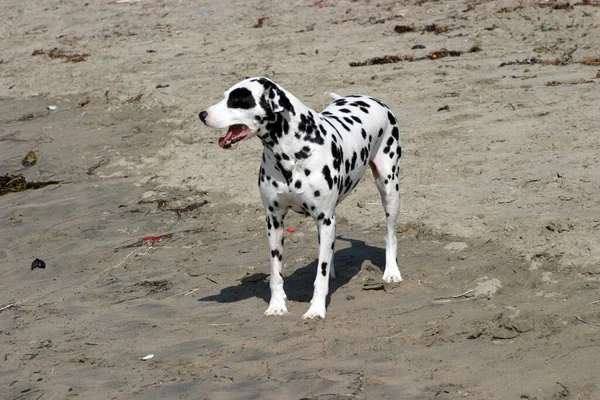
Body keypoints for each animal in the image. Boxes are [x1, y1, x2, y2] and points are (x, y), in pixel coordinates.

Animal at [199, 76, 400, 318]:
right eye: (225, 96)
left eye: (239, 100)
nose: (202, 114)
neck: (291, 153)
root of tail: (370, 98)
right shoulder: (274, 221)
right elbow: (276, 273)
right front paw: (277, 306)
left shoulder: (324, 218)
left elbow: (320, 276)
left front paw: (316, 310)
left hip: (389, 188)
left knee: (390, 235)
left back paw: (391, 272)